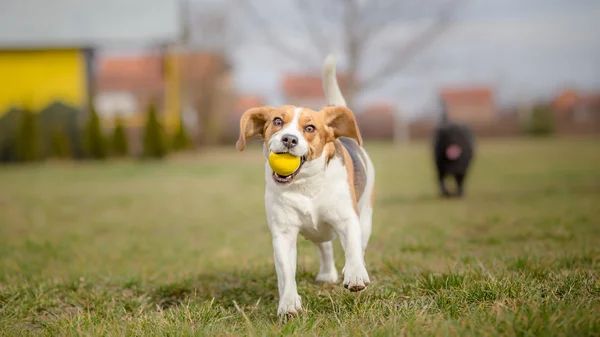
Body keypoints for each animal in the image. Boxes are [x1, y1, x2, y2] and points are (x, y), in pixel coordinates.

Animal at [236, 53, 372, 316]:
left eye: (310, 128)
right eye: (278, 121)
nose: (289, 139)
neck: (306, 185)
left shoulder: (346, 219)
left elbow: (352, 247)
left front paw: (355, 275)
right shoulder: (283, 233)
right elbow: (286, 273)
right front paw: (289, 303)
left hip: (365, 215)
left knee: (359, 245)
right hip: (320, 232)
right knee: (326, 248)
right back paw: (327, 274)